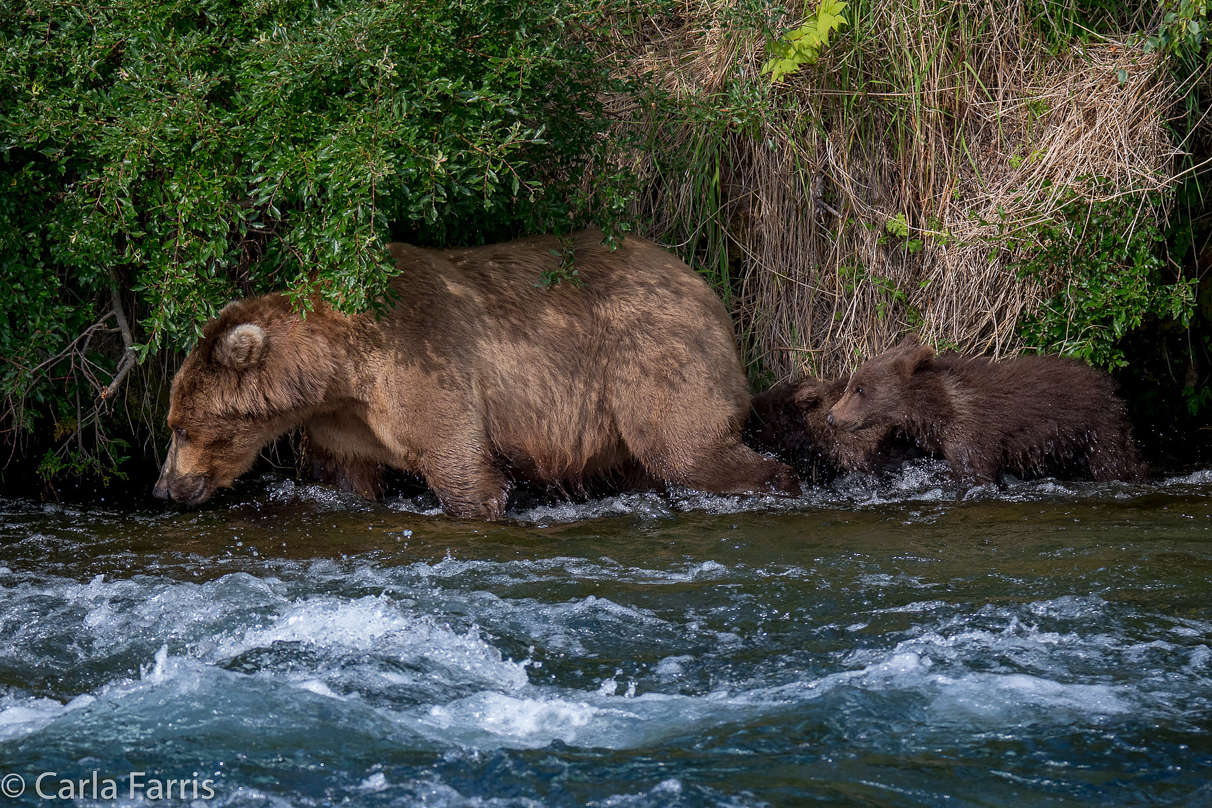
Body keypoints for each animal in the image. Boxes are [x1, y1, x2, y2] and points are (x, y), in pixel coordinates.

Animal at [151, 228, 799, 518]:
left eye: (181, 426)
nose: (163, 486)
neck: (343, 370)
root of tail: (708, 286)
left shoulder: (424, 363)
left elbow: (462, 466)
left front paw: (481, 505)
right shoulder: (344, 420)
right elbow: (345, 477)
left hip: (654, 353)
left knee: (686, 446)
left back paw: (780, 482)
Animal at [824, 336, 1144, 486]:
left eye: (859, 389)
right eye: (851, 385)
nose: (831, 416)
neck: (936, 409)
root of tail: (1108, 383)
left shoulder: (971, 432)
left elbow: (974, 473)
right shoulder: (916, 435)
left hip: (1098, 427)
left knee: (1115, 462)